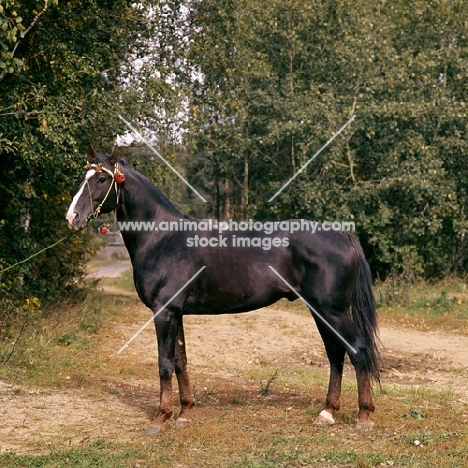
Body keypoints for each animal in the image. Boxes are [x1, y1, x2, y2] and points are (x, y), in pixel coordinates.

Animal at [66, 146, 380, 436]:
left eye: (102, 179)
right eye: (83, 177)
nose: (72, 217)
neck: (162, 239)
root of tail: (343, 235)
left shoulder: (164, 312)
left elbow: (164, 363)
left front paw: (160, 418)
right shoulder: (176, 313)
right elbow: (180, 360)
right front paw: (186, 412)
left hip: (333, 311)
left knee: (357, 349)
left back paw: (364, 417)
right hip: (320, 310)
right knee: (335, 353)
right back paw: (327, 412)